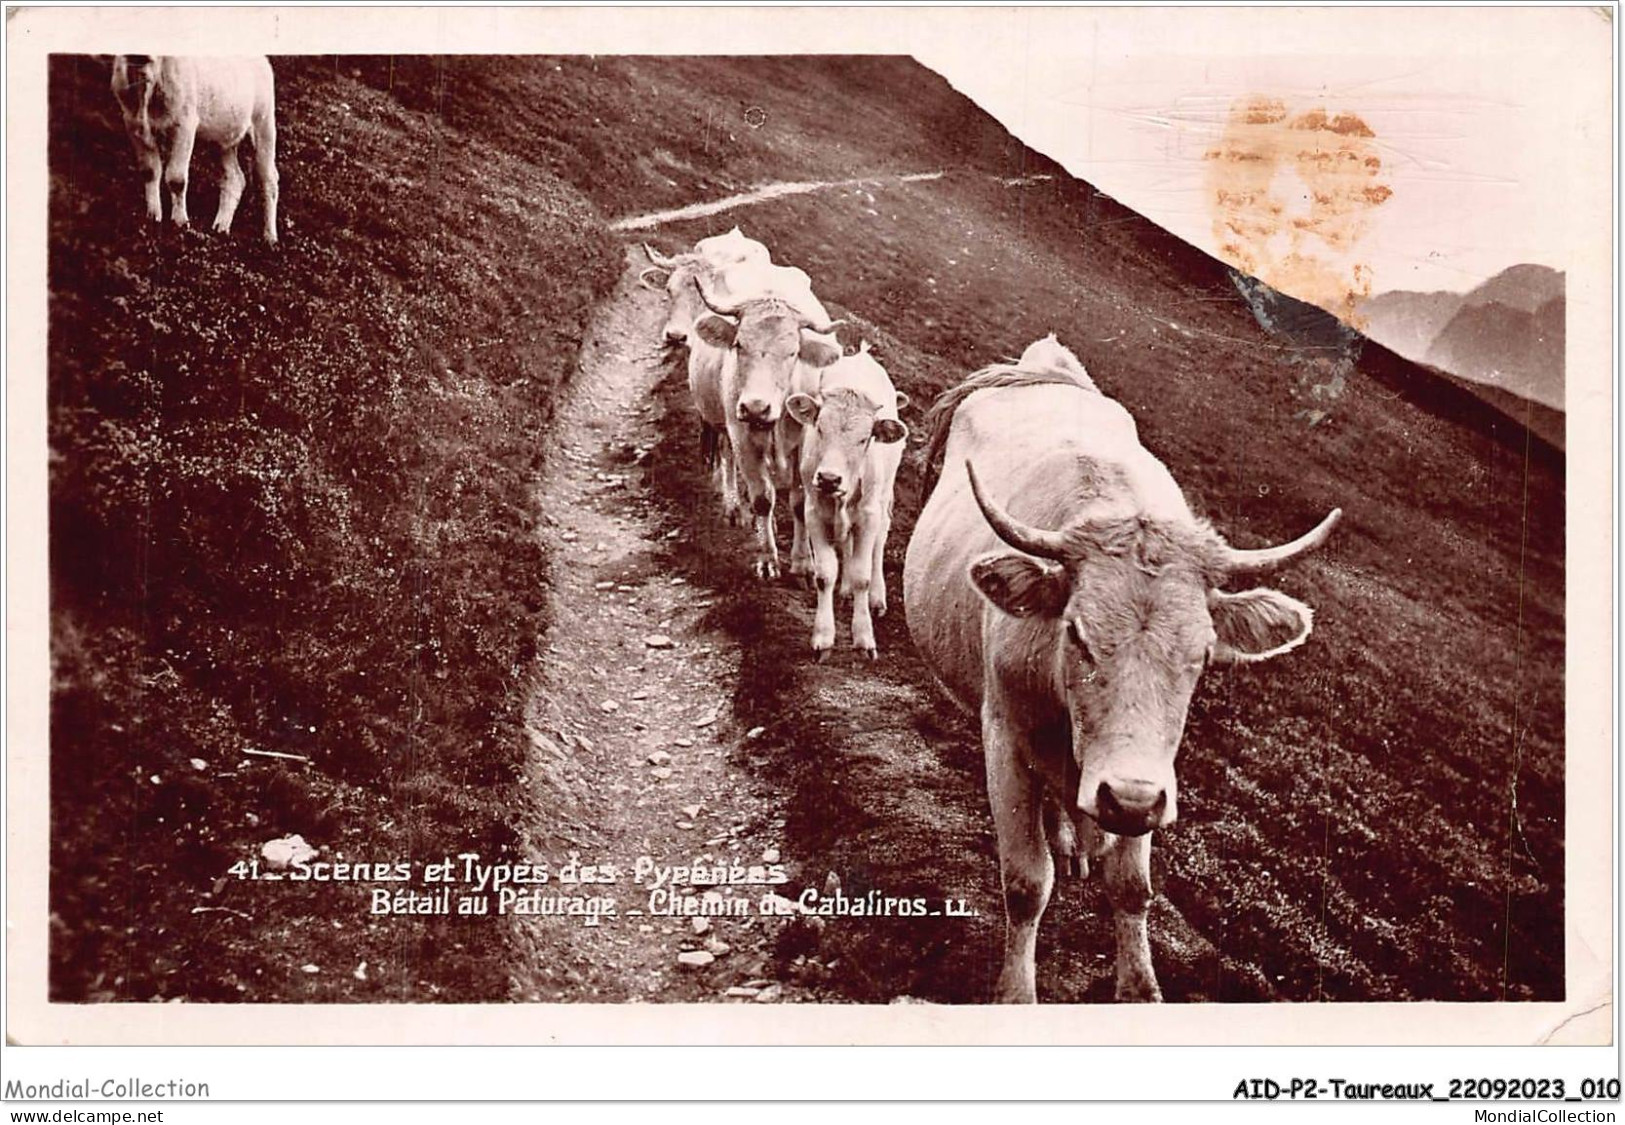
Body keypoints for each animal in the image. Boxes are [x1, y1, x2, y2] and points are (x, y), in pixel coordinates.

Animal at [111, 54, 279, 243]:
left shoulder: (184, 124)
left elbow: (176, 178)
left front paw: (180, 223)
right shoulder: (133, 125)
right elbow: (149, 171)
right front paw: (153, 218)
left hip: (263, 125)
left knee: (268, 179)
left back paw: (269, 238)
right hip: (221, 139)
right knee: (234, 178)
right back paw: (220, 228)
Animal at [897, 331, 1339, 1001]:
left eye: (1202, 655)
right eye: (1076, 634)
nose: (1126, 802)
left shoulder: (1153, 769)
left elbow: (1132, 888)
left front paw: (1139, 987)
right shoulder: (1005, 737)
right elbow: (1026, 883)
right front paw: (1016, 992)